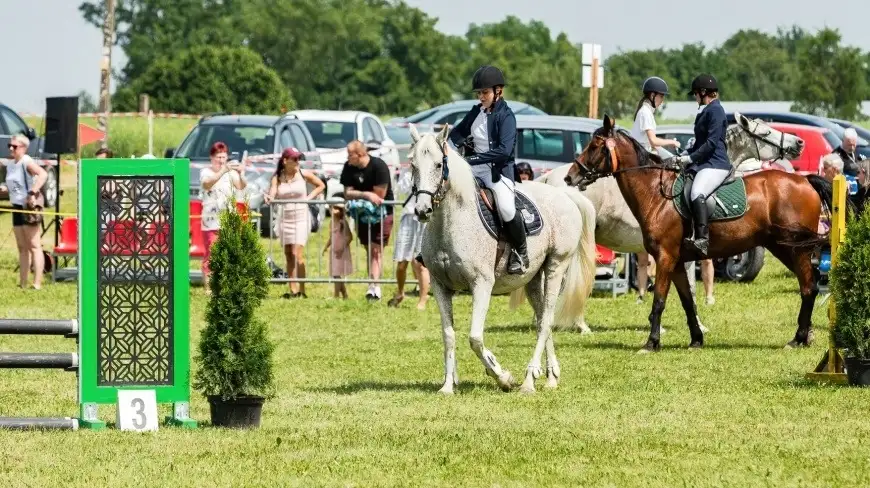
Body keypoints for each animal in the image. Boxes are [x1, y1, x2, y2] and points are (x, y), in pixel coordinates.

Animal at [408, 124, 600, 394]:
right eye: (413, 165)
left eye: (438, 165)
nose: (422, 210)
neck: (450, 222)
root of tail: (563, 194)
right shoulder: (440, 286)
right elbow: (448, 335)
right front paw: (447, 385)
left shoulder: (481, 285)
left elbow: (475, 338)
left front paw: (502, 375)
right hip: (533, 278)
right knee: (542, 320)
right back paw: (551, 376)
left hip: (556, 266)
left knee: (546, 320)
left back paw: (529, 380)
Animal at [564, 114, 836, 350]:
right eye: (766, 132)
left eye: (594, 146)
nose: (570, 177)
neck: (656, 194)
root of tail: (804, 180)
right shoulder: (675, 262)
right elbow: (687, 301)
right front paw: (696, 339)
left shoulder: (665, 257)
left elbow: (660, 300)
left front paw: (652, 343)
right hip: (784, 248)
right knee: (808, 286)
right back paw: (802, 337)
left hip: (795, 249)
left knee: (809, 288)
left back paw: (798, 338)